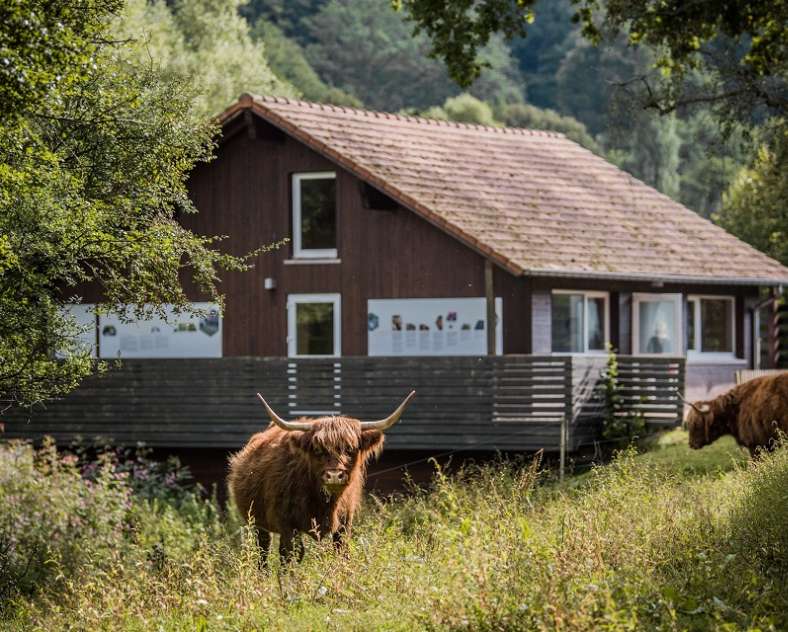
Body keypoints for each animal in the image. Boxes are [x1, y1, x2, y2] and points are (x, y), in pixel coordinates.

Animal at [226, 392, 416, 560]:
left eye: (350, 448)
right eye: (317, 450)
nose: (334, 475)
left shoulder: (344, 523)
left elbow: (341, 553)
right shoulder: (287, 524)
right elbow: (289, 555)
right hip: (258, 522)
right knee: (264, 551)